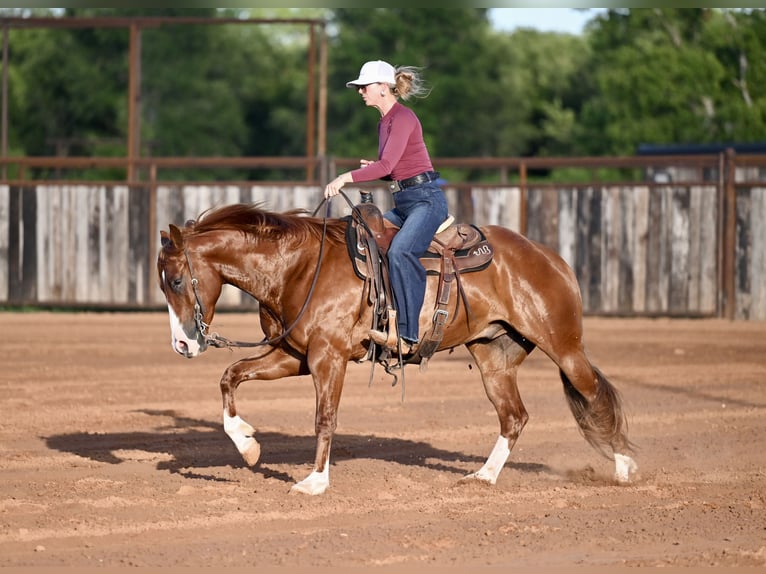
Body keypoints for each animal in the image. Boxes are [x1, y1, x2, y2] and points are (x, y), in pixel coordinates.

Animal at [156, 202, 637, 495]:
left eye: (177, 280)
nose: (181, 344)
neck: (300, 267)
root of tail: (551, 258)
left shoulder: (328, 357)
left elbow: (325, 419)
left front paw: (314, 482)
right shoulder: (294, 356)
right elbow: (231, 376)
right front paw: (248, 445)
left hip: (564, 346)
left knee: (596, 395)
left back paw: (624, 469)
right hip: (493, 357)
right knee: (514, 417)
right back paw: (483, 476)